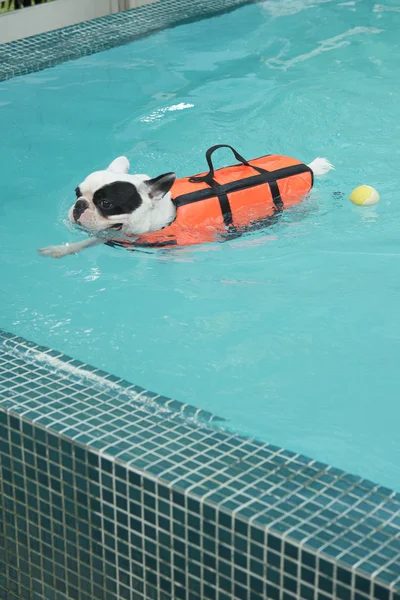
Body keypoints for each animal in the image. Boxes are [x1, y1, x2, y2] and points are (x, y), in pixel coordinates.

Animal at [39, 155, 334, 258]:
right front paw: (61, 250)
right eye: (77, 193)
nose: (79, 206)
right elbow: (88, 242)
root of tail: (309, 166)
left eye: (106, 203)